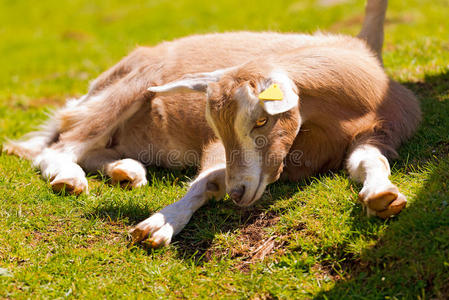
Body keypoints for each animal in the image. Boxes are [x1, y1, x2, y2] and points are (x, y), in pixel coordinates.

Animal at [3, 0, 418, 248]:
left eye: (262, 120)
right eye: (215, 127)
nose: (239, 192)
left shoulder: (380, 133)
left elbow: (370, 162)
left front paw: (383, 197)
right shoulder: (219, 153)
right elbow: (207, 179)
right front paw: (160, 224)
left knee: (88, 149)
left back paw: (125, 171)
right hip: (124, 90)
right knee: (60, 146)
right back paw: (70, 178)